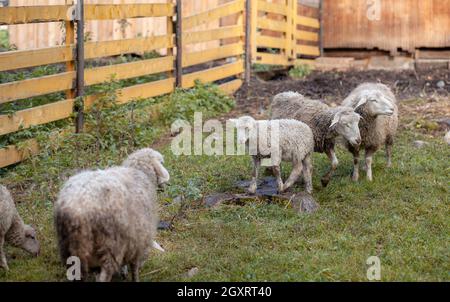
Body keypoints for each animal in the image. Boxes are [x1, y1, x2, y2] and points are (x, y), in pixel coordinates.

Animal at [54, 147, 170, 282]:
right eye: (161, 162)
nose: (165, 185)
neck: (140, 173)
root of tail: (77, 208)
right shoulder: (139, 239)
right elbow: (134, 267)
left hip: (70, 247)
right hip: (111, 244)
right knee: (104, 275)